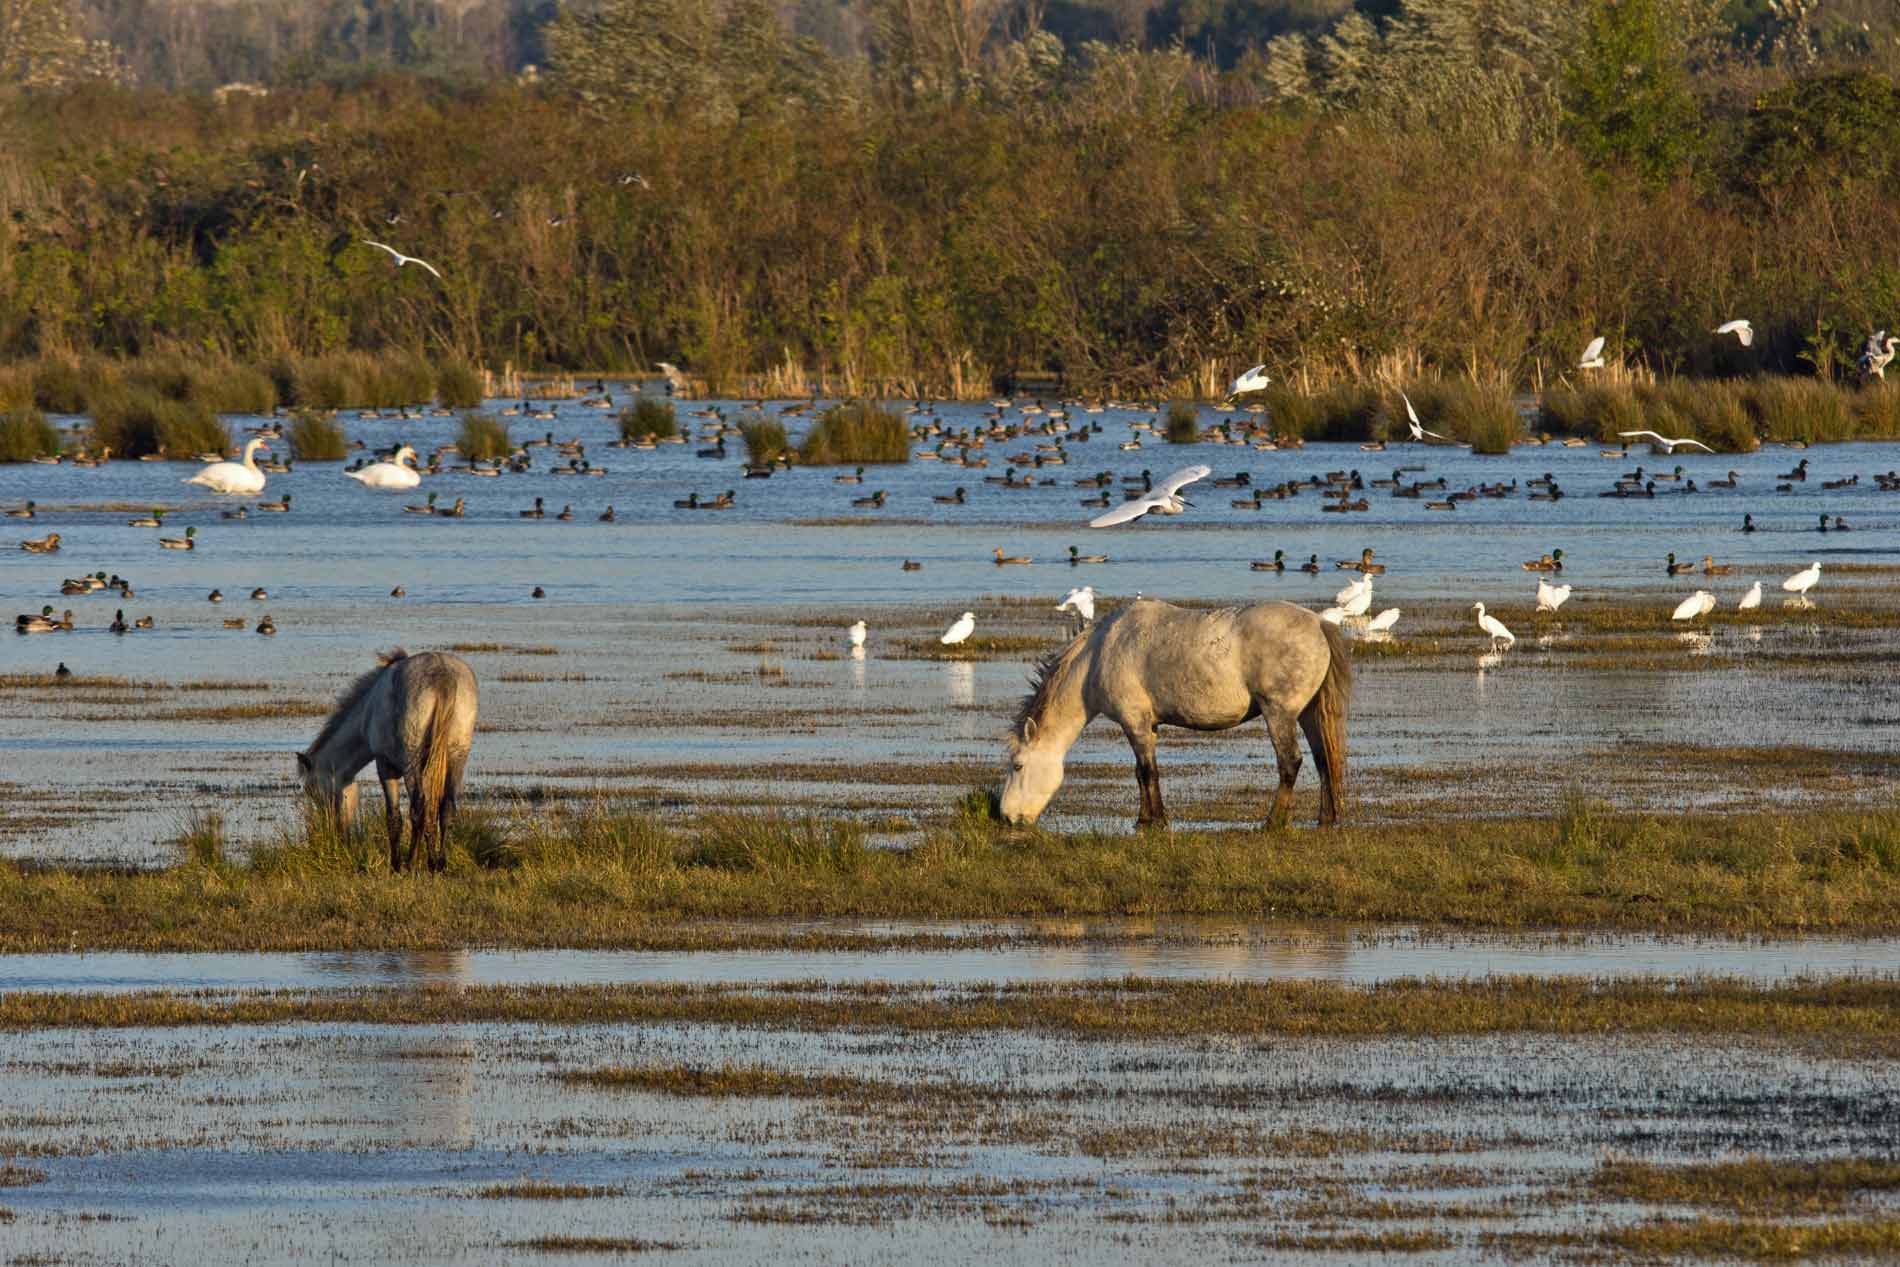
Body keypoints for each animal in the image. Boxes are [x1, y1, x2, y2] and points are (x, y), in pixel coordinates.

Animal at [296, 653, 478, 873]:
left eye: (312, 791)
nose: (331, 833)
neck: (368, 709)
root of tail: (443, 676)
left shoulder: (384, 766)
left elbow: (394, 818)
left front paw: (396, 865)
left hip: (411, 763)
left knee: (418, 809)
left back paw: (412, 863)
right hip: (456, 757)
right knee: (447, 809)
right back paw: (440, 864)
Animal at [995, 596, 1352, 828]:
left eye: (1018, 765)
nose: (1008, 816)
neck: (1100, 653)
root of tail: (1318, 623)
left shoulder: (1134, 722)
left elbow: (1147, 771)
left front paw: (1157, 820)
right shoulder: (1146, 726)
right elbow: (1142, 772)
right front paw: (1144, 818)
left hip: (1279, 713)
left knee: (1290, 763)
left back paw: (1272, 822)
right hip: (1307, 715)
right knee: (1323, 760)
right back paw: (1326, 818)